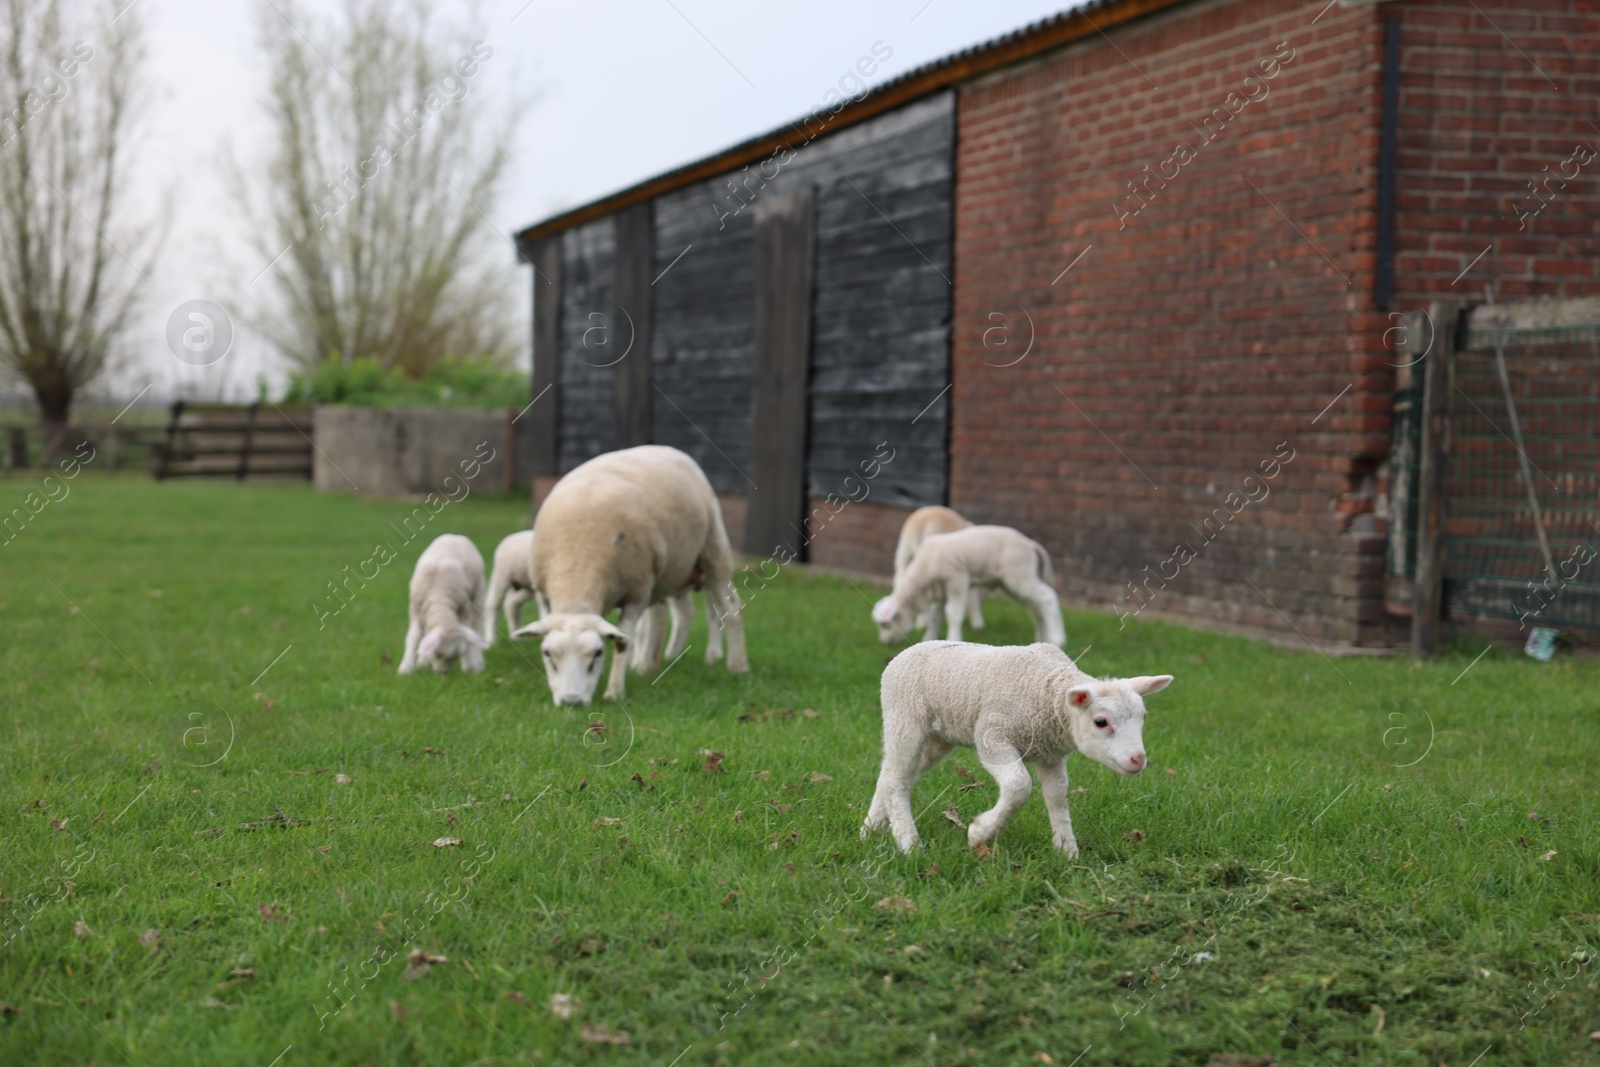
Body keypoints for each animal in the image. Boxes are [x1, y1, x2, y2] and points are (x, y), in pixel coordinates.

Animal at [395, 534, 486, 675]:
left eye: (456, 657)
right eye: (438, 654)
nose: (441, 673)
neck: (439, 598)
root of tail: (455, 536)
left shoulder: (463, 607)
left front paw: (469, 666)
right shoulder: (415, 607)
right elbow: (414, 636)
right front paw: (406, 668)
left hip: (479, 589)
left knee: (476, 625)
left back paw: (477, 662)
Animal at [508, 447, 745, 703]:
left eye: (597, 653)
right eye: (547, 653)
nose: (571, 701)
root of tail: (665, 449)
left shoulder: (636, 595)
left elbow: (623, 641)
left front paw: (614, 692)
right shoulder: (545, 597)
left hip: (714, 548)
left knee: (730, 607)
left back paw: (737, 667)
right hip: (662, 576)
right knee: (666, 613)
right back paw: (649, 665)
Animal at [864, 643, 1177, 857]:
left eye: (1143, 717)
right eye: (1101, 722)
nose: (1138, 760)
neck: (1048, 693)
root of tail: (905, 652)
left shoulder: (1052, 755)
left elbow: (1057, 797)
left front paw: (1067, 851)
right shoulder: (992, 736)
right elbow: (1019, 786)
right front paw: (980, 833)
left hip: (938, 738)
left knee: (891, 773)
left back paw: (870, 829)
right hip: (905, 719)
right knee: (897, 780)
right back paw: (909, 844)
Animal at [870, 524, 1068, 643]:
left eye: (884, 625)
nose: (884, 643)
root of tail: (1030, 543)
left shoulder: (957, 581)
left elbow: (953, 614)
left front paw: (953, 639)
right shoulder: (941, 591)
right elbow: (936, 618)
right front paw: (929, 640)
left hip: (1019, 575)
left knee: (1048, 598)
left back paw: (1058, 639)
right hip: (1016, 582)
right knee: (1036, 608)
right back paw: (1043, 639)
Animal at [889, 508, 985, 643]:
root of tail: (923, 521)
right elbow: (973, 596)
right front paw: (978, 624)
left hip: (904, 552)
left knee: (902, 582)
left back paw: (920, 622)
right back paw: (925, 622)